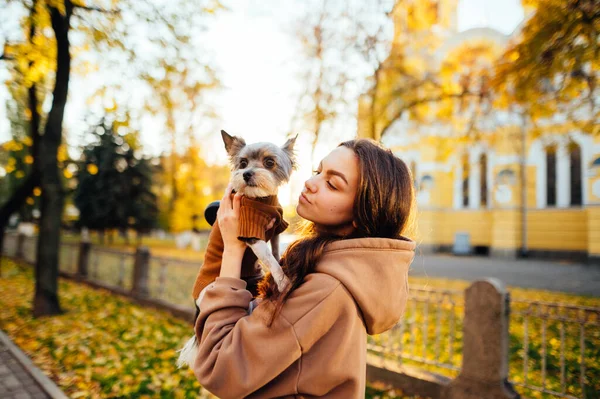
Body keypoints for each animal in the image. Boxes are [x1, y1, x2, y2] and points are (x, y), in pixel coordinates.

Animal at [177, 130, 296, 368]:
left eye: (269, 162)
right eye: (242, 163)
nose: (247, 174)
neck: (262, 199)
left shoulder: (276, 230)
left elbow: (274, 252)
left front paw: (280, 266)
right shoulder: (252, 234)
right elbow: (270, 260)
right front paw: (283, 281)